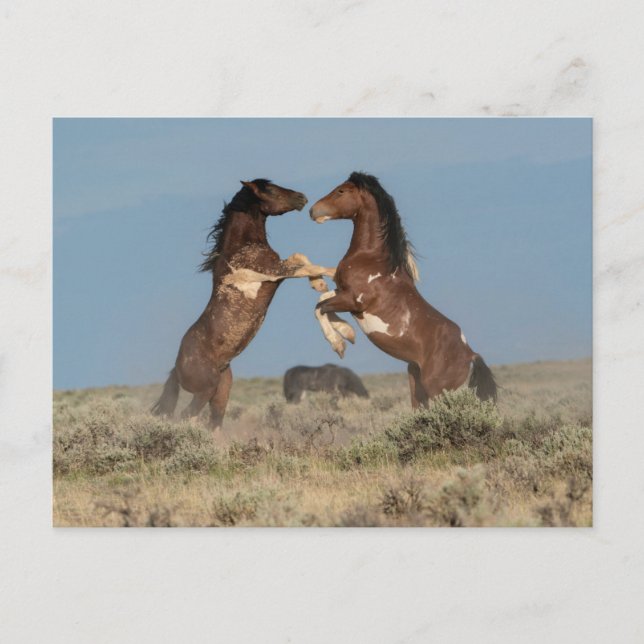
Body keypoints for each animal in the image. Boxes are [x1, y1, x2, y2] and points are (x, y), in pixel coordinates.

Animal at [152, 179, 352, 429]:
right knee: (186, 417)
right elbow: (305, 263)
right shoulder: (276, 271)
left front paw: (319, 284)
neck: (241, 247)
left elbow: (302, 259)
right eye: (271, 190)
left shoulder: (279, 269)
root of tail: (177, 369)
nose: (302, 198)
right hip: (204, 391)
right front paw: (333, 275)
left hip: (221, 392)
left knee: (211, 423)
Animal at [309, 171, 497, 408]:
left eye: (341, 191)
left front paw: (339, 344)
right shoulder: (341, 292)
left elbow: (320, 308)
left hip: (437, 390)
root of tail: (470, 354)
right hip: (415, 382)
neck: (372, 259)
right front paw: (347, 333)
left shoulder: (353, 301)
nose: (313, 210)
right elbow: (322, 300)